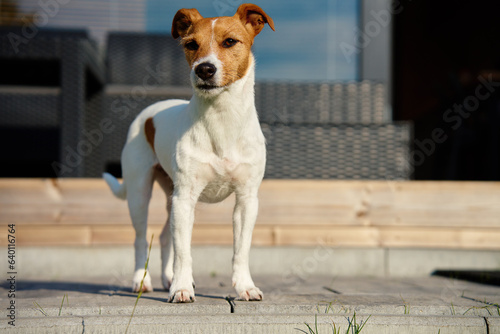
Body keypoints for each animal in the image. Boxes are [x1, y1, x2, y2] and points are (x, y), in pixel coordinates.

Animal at [102, 3, 274, 302]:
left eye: (230, 41)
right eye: (191, 44)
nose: (204, 69)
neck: (222, 119)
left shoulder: (246, 200)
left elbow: (241, 250)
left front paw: (245, 287)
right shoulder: (185, 199)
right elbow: (184, 251)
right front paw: (181, 288)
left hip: (170, 197)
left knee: (162, 237)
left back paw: (167, 277)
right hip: (140, 194)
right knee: (141, 238)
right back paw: (141, 281)